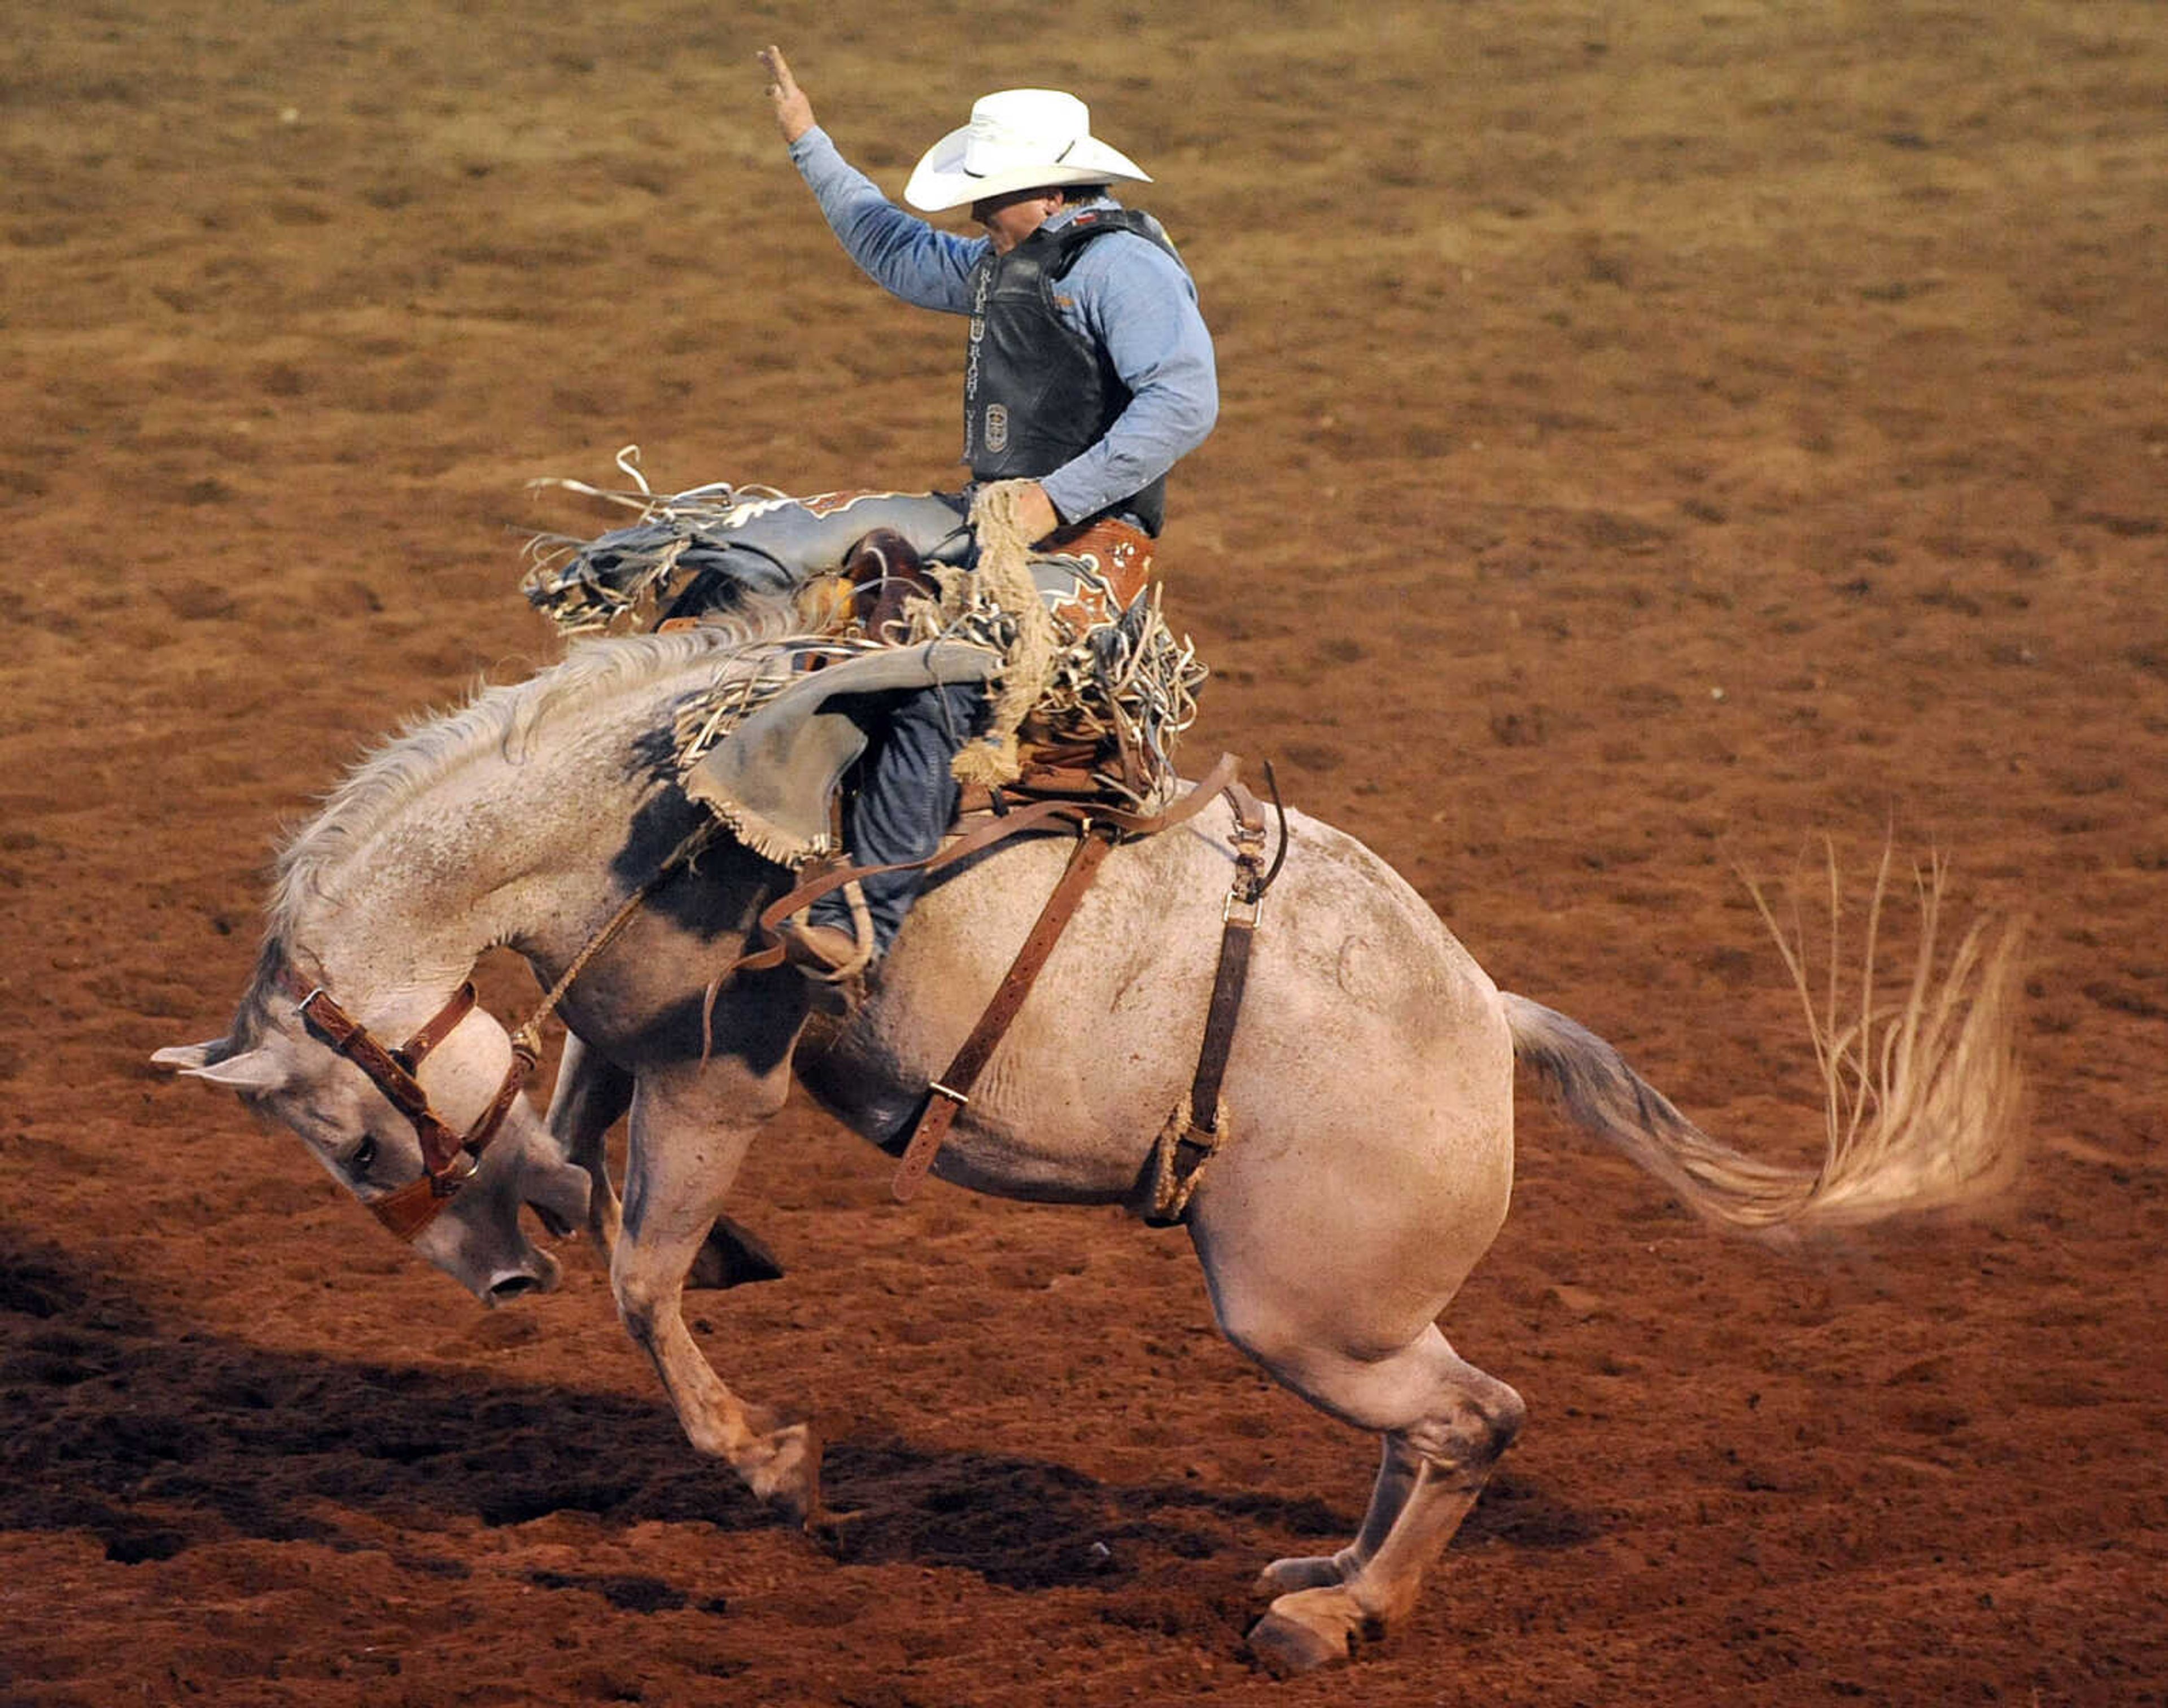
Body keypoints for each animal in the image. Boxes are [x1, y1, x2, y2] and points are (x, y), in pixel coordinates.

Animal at [157, 602, 2029, 1665]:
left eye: (351, 1146)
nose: (490, 1292)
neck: (644, 810)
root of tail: (1486, 1019)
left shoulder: (714, 1080)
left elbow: (643, 1273)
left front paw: (765, 1455)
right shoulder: (621, 1047)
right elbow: (575, 1147)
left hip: (1299, 1310)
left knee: (1470, 1420)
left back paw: (1329, 1621)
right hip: (1344, 1323)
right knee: (1432, 1433)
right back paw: (1326, 1569)